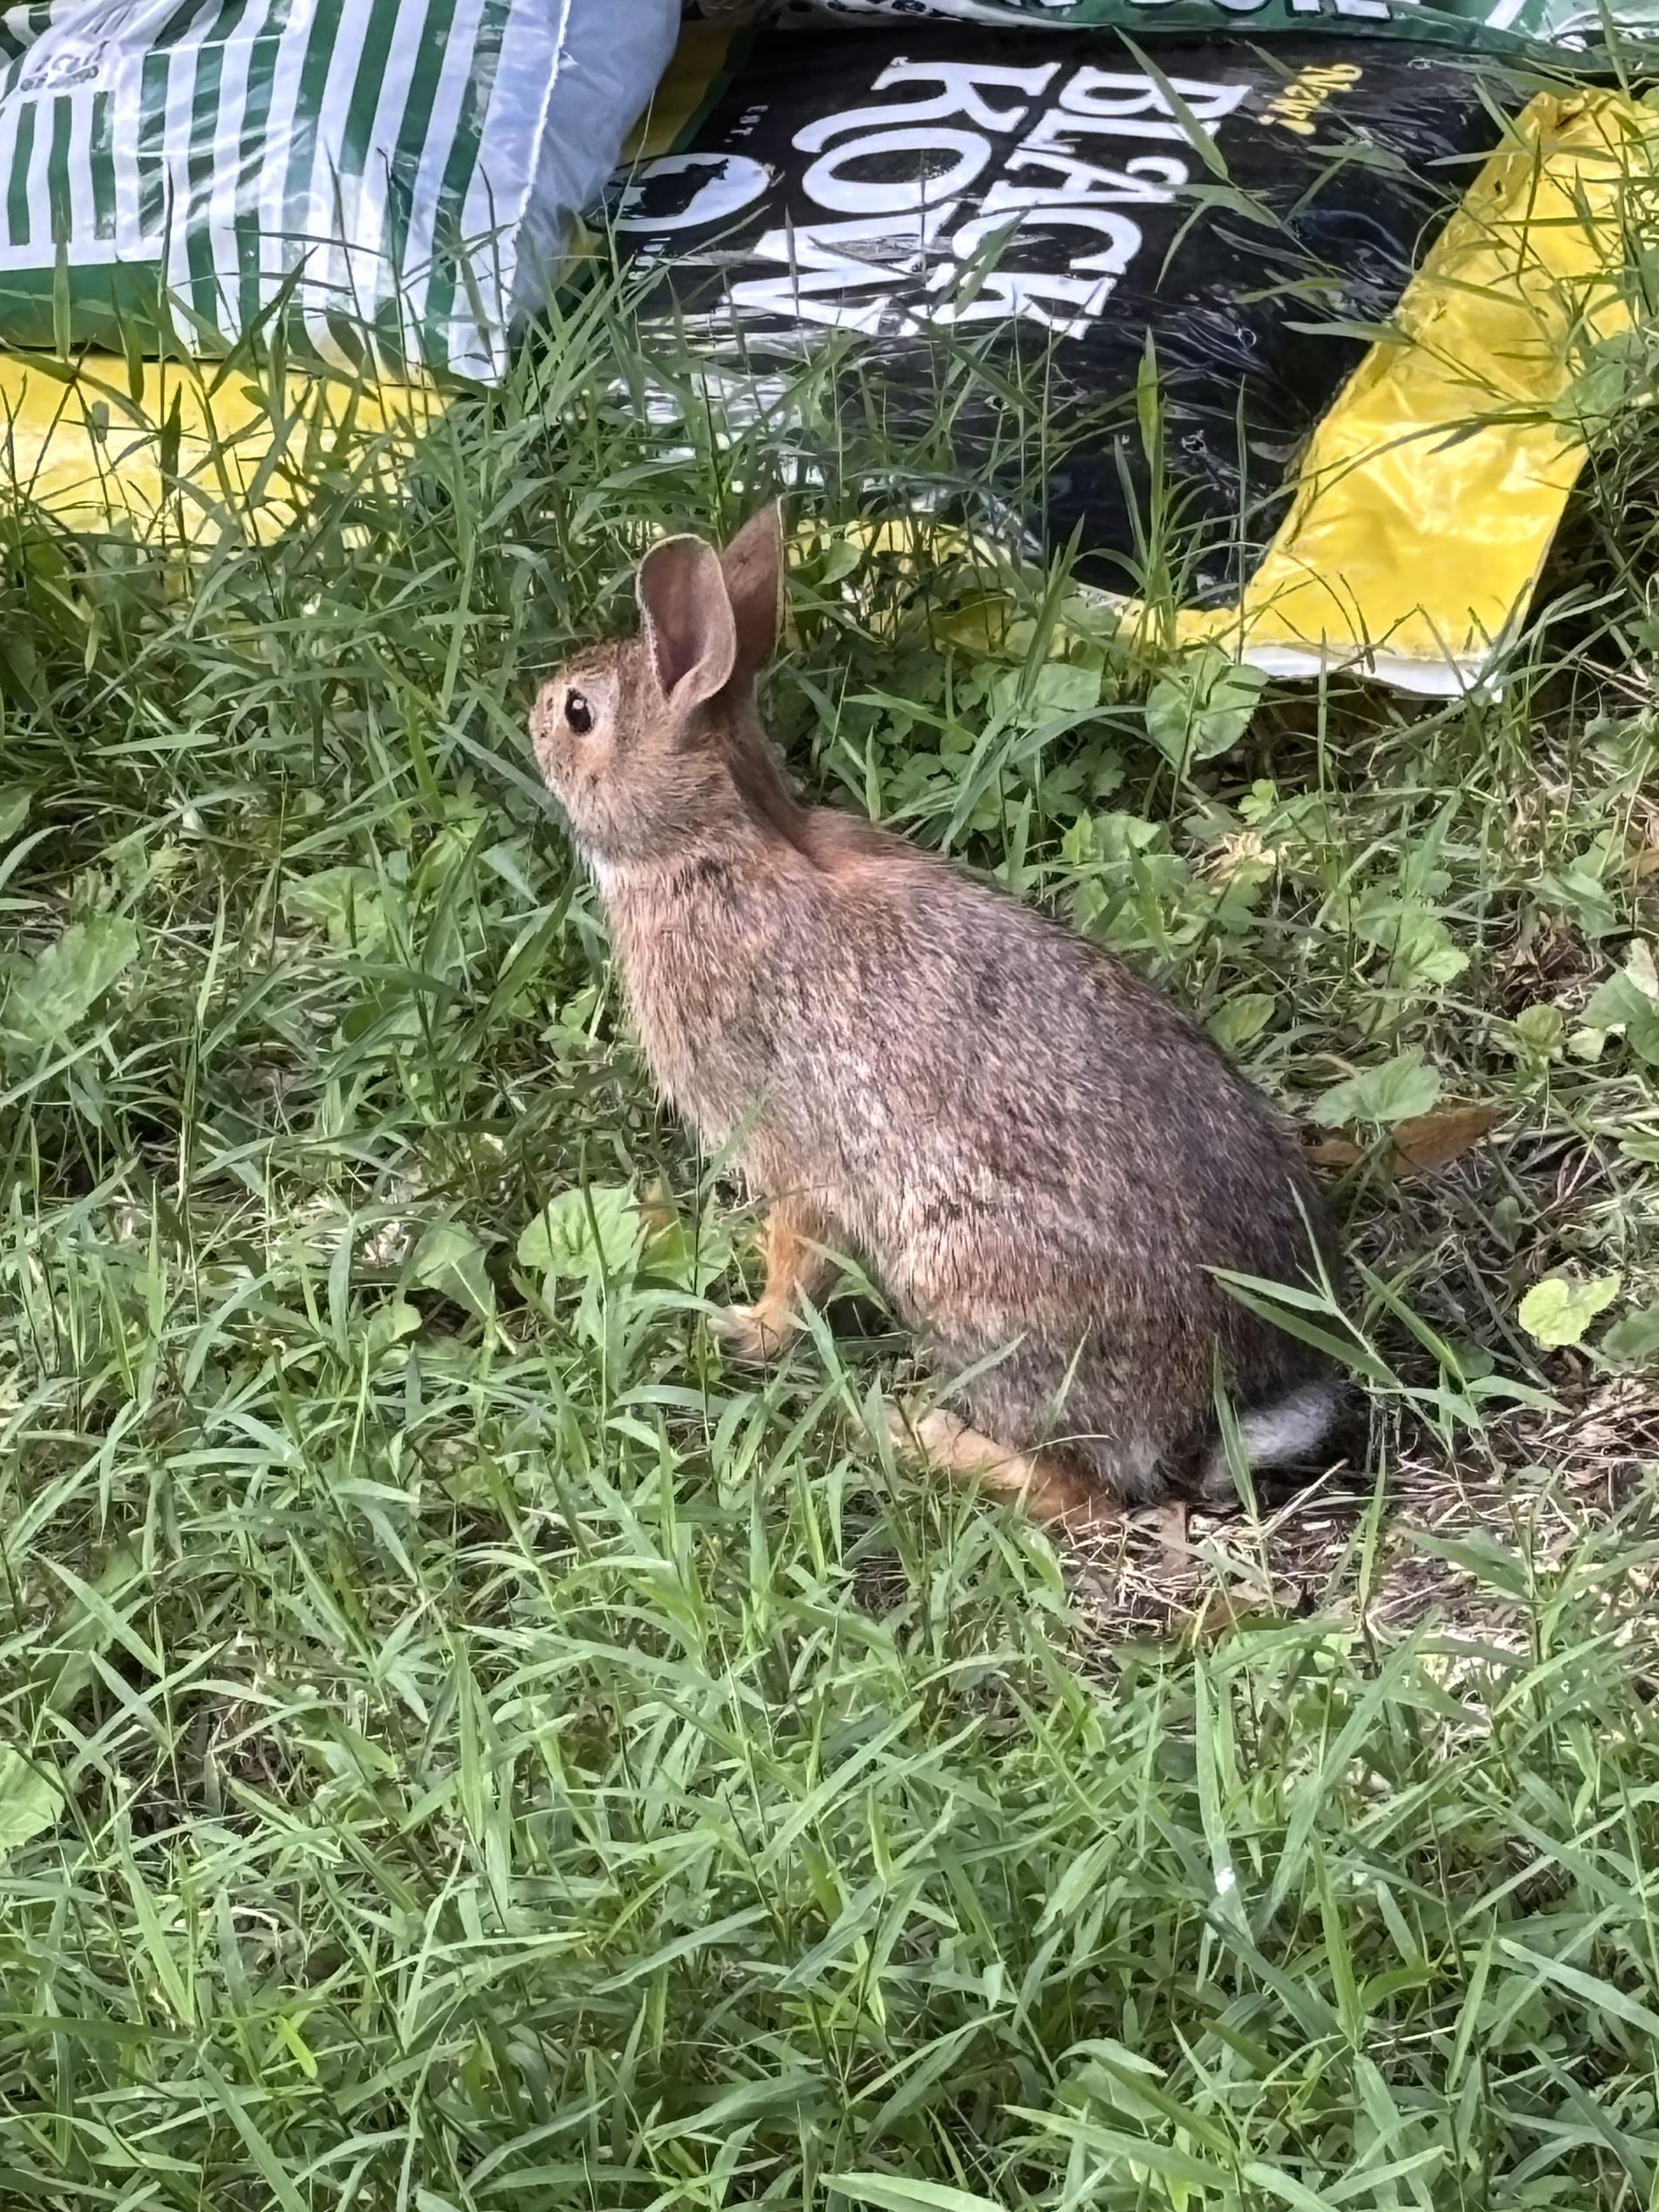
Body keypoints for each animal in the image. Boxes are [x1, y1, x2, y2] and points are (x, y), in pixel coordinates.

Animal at [530, 504, 1347, 1523]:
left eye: (580, 713)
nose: (532, 711)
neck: (709, 850)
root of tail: (1215, 1408)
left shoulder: (787, 1147)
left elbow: (795, 1256)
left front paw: (746, 1329)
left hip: (964, 1285)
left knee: (1078, 1491)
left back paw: (908, 1431)